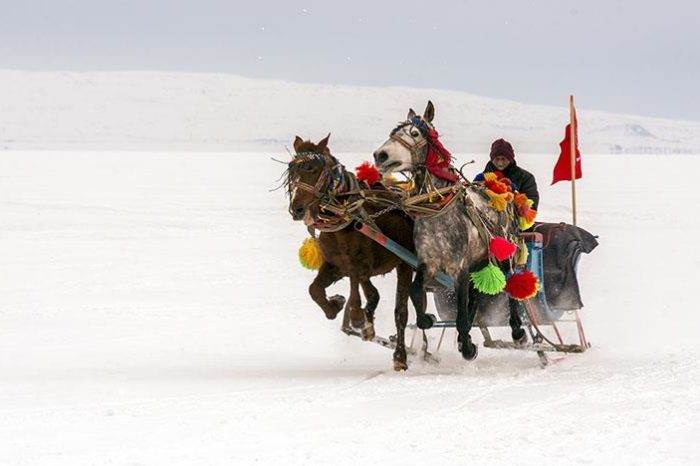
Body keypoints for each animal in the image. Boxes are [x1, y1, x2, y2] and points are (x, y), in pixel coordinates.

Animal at [288, 135, 418, 372]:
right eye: (291, 168)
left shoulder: (360, 264)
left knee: (401, 312)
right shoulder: (335, 265)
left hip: (405, 264)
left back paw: (400, 356)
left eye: (313, 168)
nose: (297, 209)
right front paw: (336, 304)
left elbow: (359, 286)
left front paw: (357, 317)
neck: (345, 220)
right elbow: (315, 290)